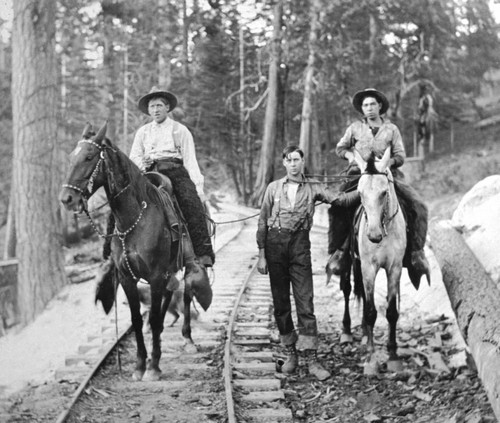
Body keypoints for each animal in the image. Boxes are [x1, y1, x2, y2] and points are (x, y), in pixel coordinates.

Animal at [57, 121, 201, 380]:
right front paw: (141, 365)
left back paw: (187, 339)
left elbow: (152, 317)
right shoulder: (127, 278)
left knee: (184, 296)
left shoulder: (155, 276)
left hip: (183, 267)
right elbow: (137, 320)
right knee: (169, 297)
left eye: (89, 156)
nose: (67, 198)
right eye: (72, 156)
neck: (134, 219)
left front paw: (153, 367)